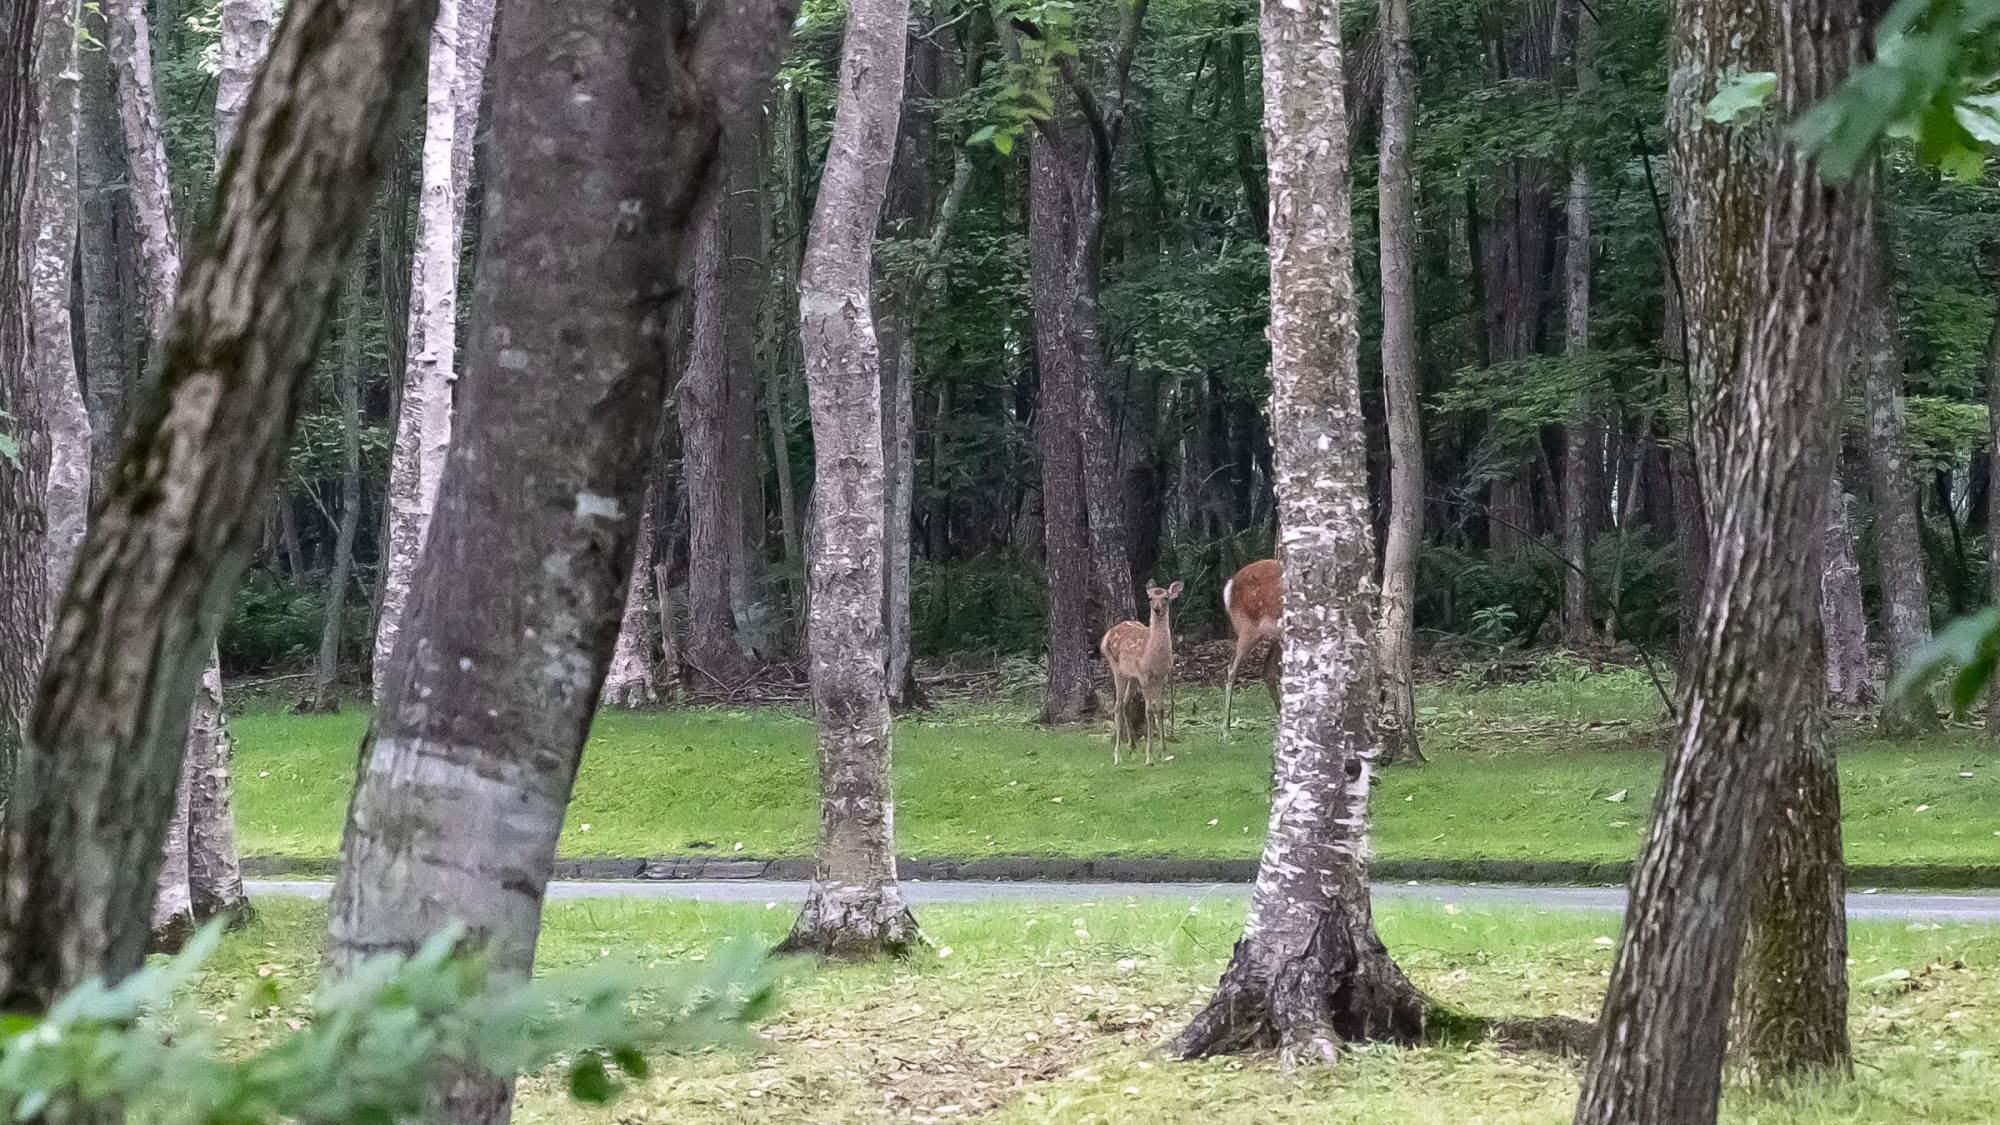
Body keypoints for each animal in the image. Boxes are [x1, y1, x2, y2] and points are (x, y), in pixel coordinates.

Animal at [1104, 576, 1176, 760]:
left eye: (1166, 597)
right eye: (1150, 598)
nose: (1157, 609)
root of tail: (1106, 636)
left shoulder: (1163, 677)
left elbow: (1161, 709)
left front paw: (1164, 751)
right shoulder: (1144, 676)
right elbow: (1148, 711)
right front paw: (1149, 756)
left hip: (1131, 676)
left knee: (1126, 702)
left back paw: (1132, 746)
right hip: (1117, 668)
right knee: (1117, 705)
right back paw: (1117, 755)